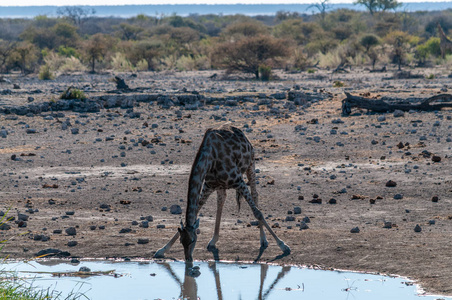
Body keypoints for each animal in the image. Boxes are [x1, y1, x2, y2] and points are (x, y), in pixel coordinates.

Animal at [154, 124, 292, 260]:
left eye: (193, 240)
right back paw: (213, 241)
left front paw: (283, 246)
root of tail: (240, 131)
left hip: (250, 164)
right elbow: (197, 209)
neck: (210, 159)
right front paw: (162, 250)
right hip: (221, 185)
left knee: (255, 195)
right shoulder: (209, 185)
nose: (188, 259)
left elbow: (257, 213)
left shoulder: (238, 181)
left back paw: (263, 240)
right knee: (221, 200)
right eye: (182, 241)